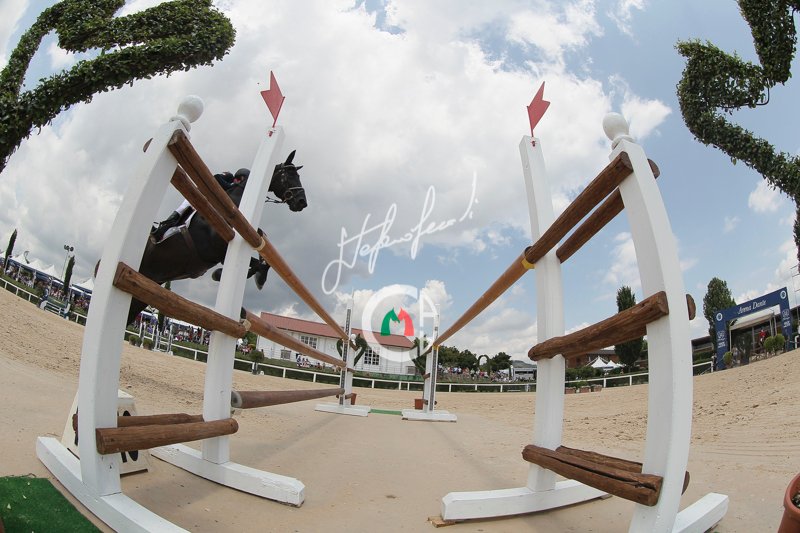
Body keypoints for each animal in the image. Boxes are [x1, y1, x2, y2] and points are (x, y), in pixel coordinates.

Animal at [125, 150, 307, 325]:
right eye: (289, 175)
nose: (302, 202)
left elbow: (261, 249)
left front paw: (259, 278)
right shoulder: (216, 247)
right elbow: (254, 257)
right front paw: (222, 275)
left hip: (147, 287)